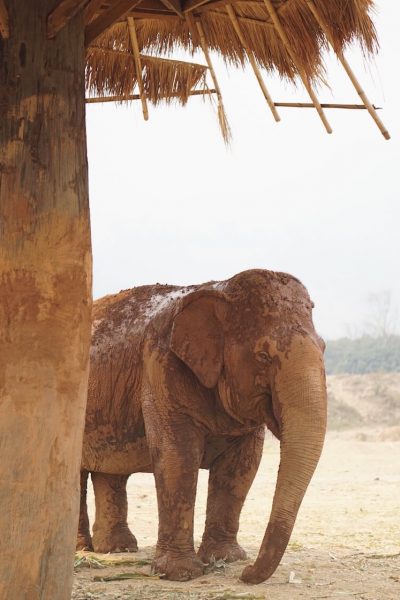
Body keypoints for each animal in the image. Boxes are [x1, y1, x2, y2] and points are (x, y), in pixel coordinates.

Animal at [76, 270, 326, 584]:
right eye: (263, 356)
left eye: (324, 347)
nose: (246, 574)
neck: (221, 289)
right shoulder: (160, 366)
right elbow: (178, 457)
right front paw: (180, 574)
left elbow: (241, 466)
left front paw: (226, 559)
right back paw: (83, 549)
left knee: (112, 472)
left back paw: (118, 549)